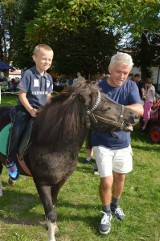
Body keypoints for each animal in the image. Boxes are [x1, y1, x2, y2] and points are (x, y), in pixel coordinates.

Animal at [0, 80, 139, 240]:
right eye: (107, 107)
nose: (135, 115)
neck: (52, 144)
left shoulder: (60, 181)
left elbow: (52, 206)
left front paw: (53, 227)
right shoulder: (42, 183)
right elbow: (51, 213)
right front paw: (52, 234)